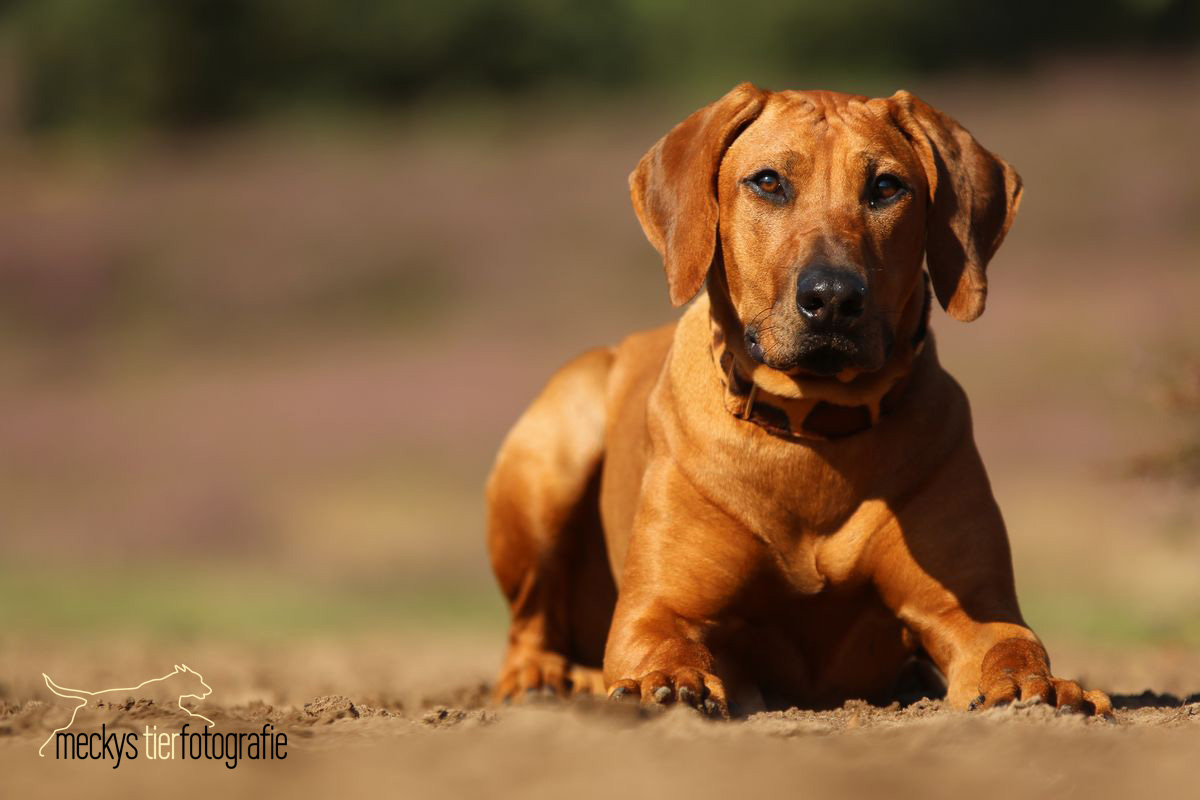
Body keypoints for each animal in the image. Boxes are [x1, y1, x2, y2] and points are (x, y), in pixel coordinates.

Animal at [484, 86, 1113, 719]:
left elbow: (1013, 644)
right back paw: (544, 678)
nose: (832, 297)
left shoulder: (972, 606)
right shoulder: (657, 609)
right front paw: (664, 681)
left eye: (886, 187)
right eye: (768, 182)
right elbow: (663, 640)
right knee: (527, 625)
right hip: (557, 440)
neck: (813, 427)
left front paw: (1039, 686)